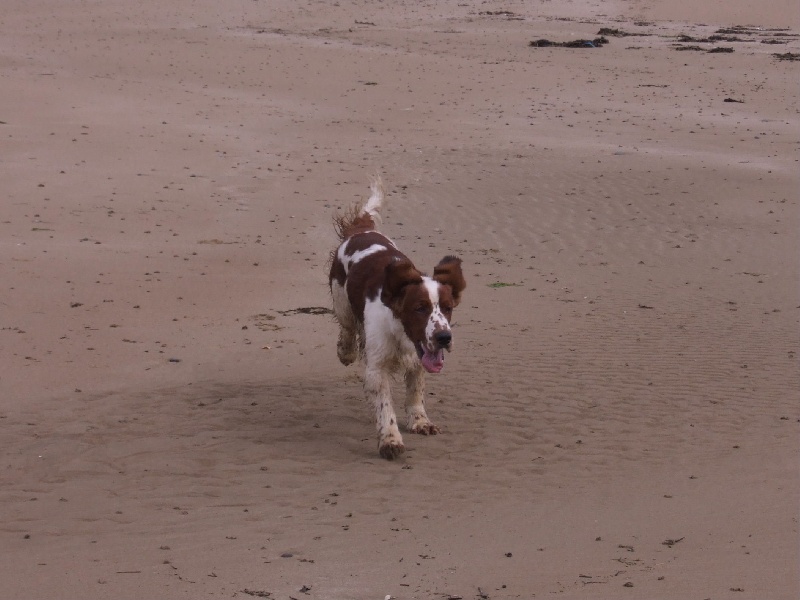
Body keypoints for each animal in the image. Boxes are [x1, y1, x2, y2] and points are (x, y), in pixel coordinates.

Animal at [328, 177, 466, 459]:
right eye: (419, 308)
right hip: (341, 300)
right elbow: (384, 406)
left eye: (447, 307)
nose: (444, 337)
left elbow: (415, 391)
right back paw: (346, 351)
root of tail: (361, 231)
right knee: (347, 328)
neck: (402, 335)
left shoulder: (419, 358)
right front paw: (390, 440)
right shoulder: (377, 367)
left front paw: (420, 421)